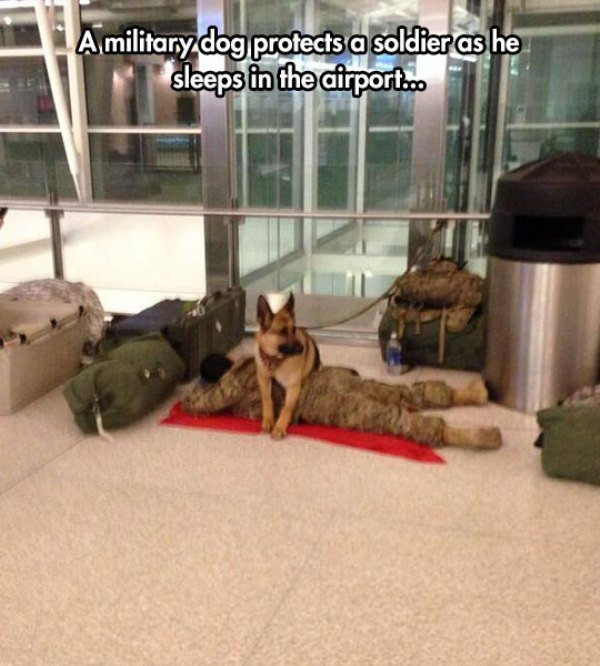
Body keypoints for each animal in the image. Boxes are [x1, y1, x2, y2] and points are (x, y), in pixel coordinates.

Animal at [255, 290, 322, 436]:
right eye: (282, 332)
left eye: (294, 329)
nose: (302, 348)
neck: (275, 360)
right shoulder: (263, 378)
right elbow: (266, 398)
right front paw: (268, 420)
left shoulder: (293, 388)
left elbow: (287, 408)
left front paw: (280, 427)